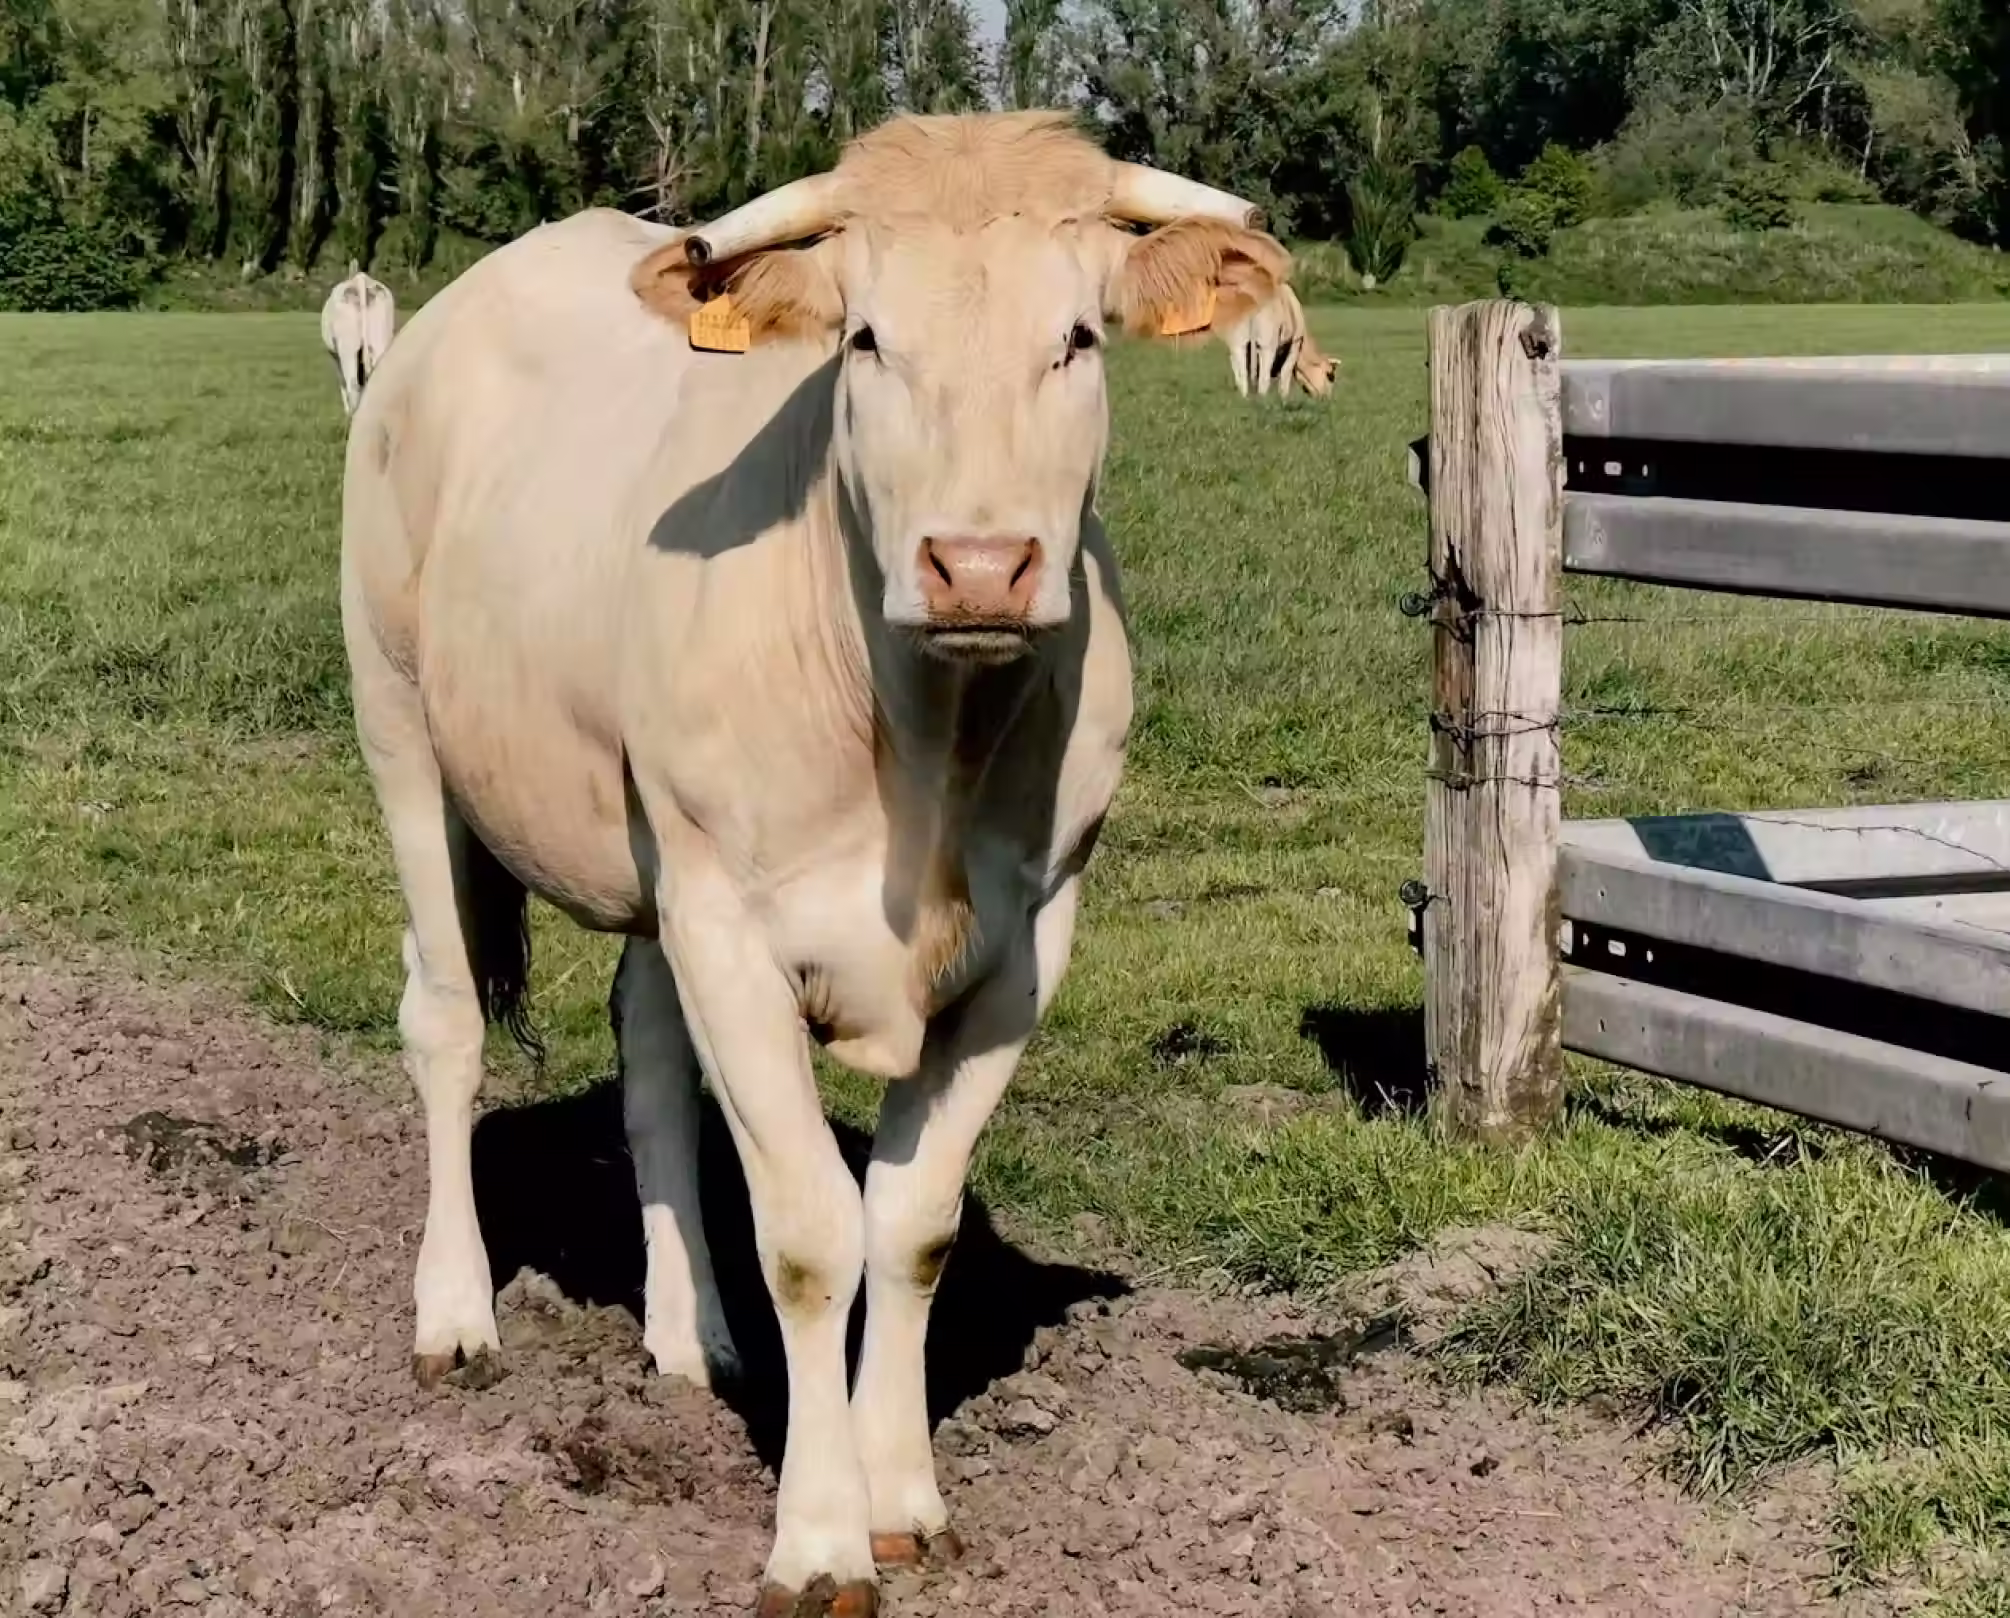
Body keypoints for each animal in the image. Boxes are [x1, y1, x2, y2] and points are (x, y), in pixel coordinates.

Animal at [320, 262, 395, 416]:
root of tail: (360, 280)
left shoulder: (335, 356)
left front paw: (347, 410)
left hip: (347, 348)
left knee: (352, 384)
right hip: (380, 339)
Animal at [340, 110, 1291, 1616]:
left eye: (1078, 337)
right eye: (865, 341)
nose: (979, 564)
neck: (927, 742)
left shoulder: (1028, 943)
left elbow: (910, 1223)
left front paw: (901, 1495)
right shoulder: (730, 922)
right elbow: (807, 1226)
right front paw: (822, 1533)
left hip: (645, 850)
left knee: (649, 1057)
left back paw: (692, 1337)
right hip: (400, 729)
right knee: (443, 1020)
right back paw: (456, 1312)